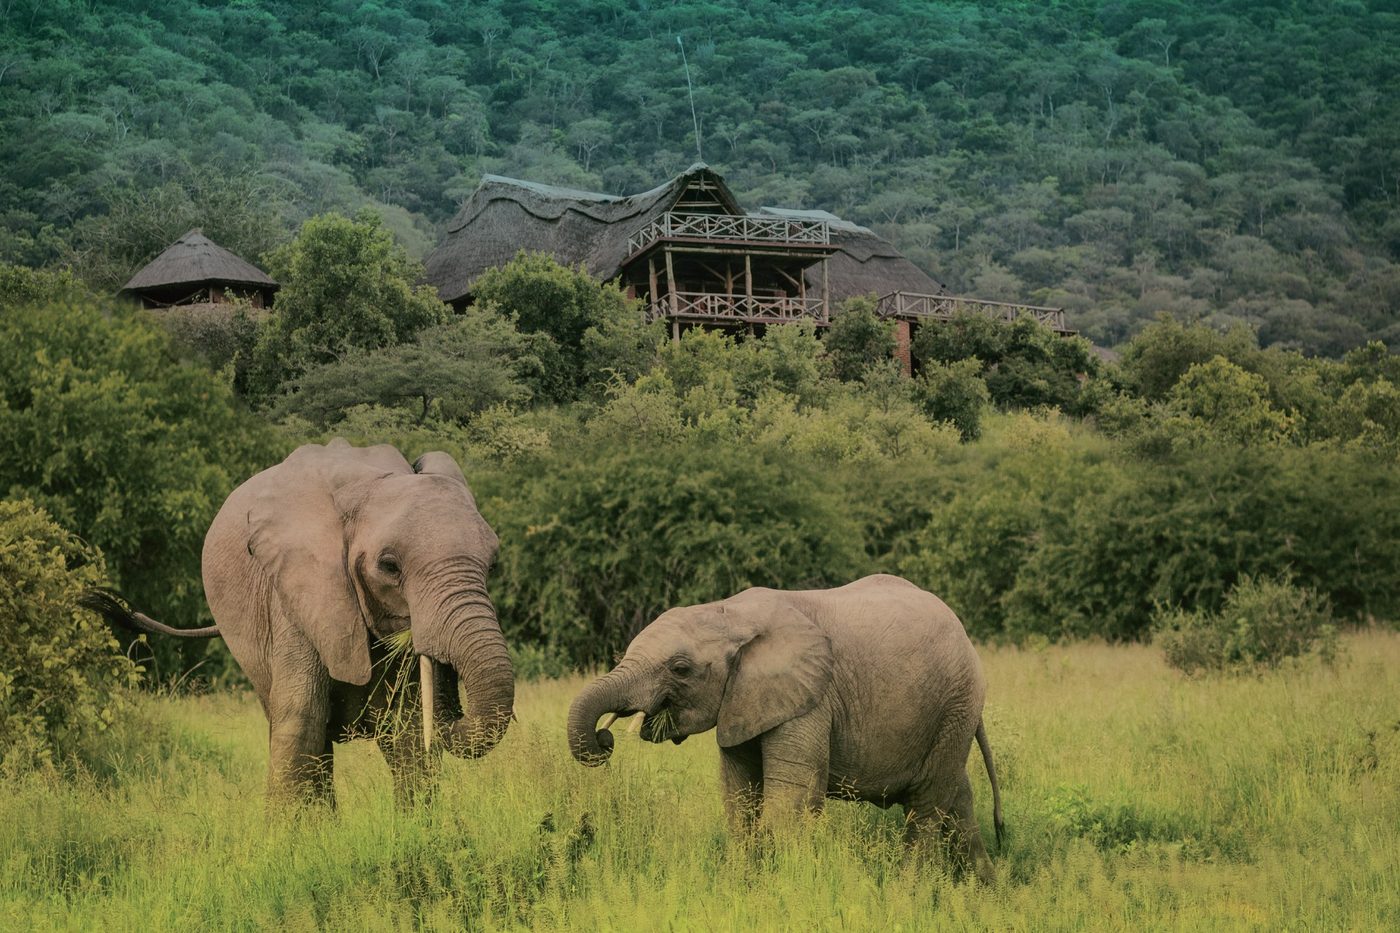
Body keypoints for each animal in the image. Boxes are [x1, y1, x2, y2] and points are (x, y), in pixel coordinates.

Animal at [83, 439, 514, 806]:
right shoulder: (295, 592)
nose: (445, 673)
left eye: (492, 564)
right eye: (389, 566)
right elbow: (301, 722)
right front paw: (290, 844)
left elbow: (407, 729)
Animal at [567, 574, 1003, 879]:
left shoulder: (810, 699)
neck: (732, 613)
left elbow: (790, 802)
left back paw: (908, 890)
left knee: (926, 808)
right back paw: (983, 889)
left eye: (680, 669)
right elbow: (740, 799)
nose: (604, 738)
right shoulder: (742, 700)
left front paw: (784, 887)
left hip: (957, 705)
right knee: (957, 801)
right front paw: (742, 885)